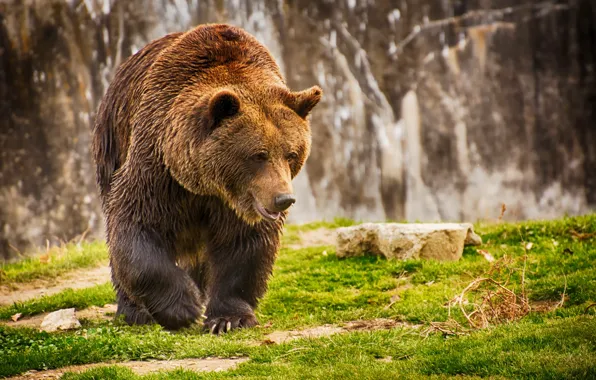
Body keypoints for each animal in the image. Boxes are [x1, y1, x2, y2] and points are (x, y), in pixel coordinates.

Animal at [92, 23, 322, 332]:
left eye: (292, 154)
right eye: (259, 155)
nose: (283, 199)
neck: (206, 184)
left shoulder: (238, 203)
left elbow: (244, 245)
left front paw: (228, 319)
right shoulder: (157, 167)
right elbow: (135, 226)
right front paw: (183, 307)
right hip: (112, 140)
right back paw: (135, 311)